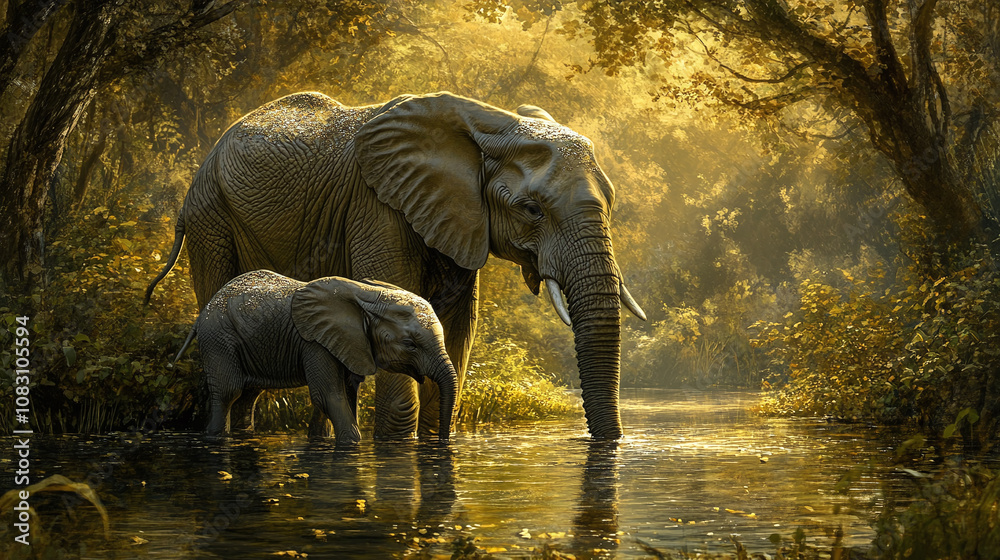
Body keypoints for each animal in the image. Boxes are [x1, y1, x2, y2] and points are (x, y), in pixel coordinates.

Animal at [172, 269, 457, 444]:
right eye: (410, 344)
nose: (443, 442)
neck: (365, 295)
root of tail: (203, 311)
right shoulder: (315, 342)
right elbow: (328, 394)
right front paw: (352, 443)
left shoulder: (348, 343)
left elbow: (346, 393)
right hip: (218, 338)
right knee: (229, 391)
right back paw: (216, 437)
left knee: (249, 395)